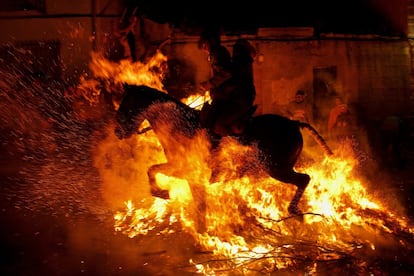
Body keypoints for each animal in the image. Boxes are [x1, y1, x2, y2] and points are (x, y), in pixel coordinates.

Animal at [114, 84, 334, 216]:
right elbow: (152, 169)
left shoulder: (187, 171)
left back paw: (293, 209)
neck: (180, 125)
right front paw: (161, 192)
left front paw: (161, 192)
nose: (117, 132)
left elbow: (153, 170)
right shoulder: (180, 168)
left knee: (304, 179)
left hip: (277, 169)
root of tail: (294, 124)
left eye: (128, 105)